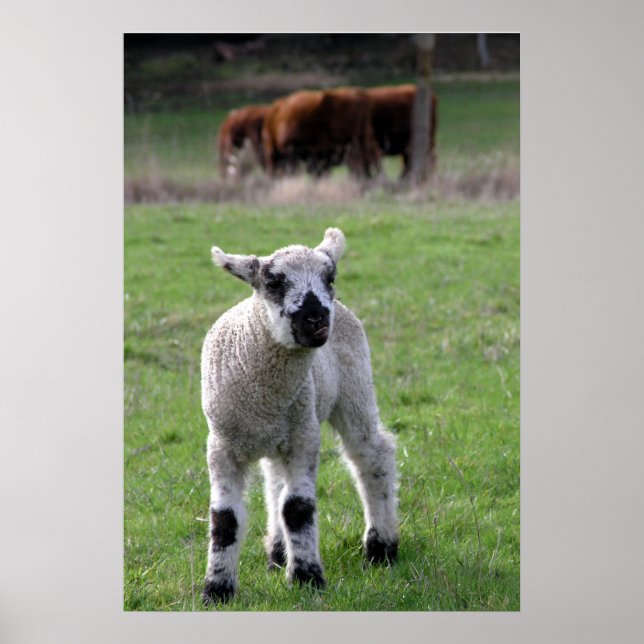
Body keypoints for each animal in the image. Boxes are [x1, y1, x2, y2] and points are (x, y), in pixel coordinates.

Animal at [201, 228, 399, 604]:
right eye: (273, 282)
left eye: (330, 278)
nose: (316, 318)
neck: (264, 397)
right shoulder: (222, 446)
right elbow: (225, 520)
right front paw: (216, 590)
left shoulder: (304, 436)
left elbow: (297, 509)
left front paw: (307, 578)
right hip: (281, 435)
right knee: (276, 484)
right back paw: (278, 554)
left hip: (354, 386)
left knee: (372, 455)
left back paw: (381, 548)